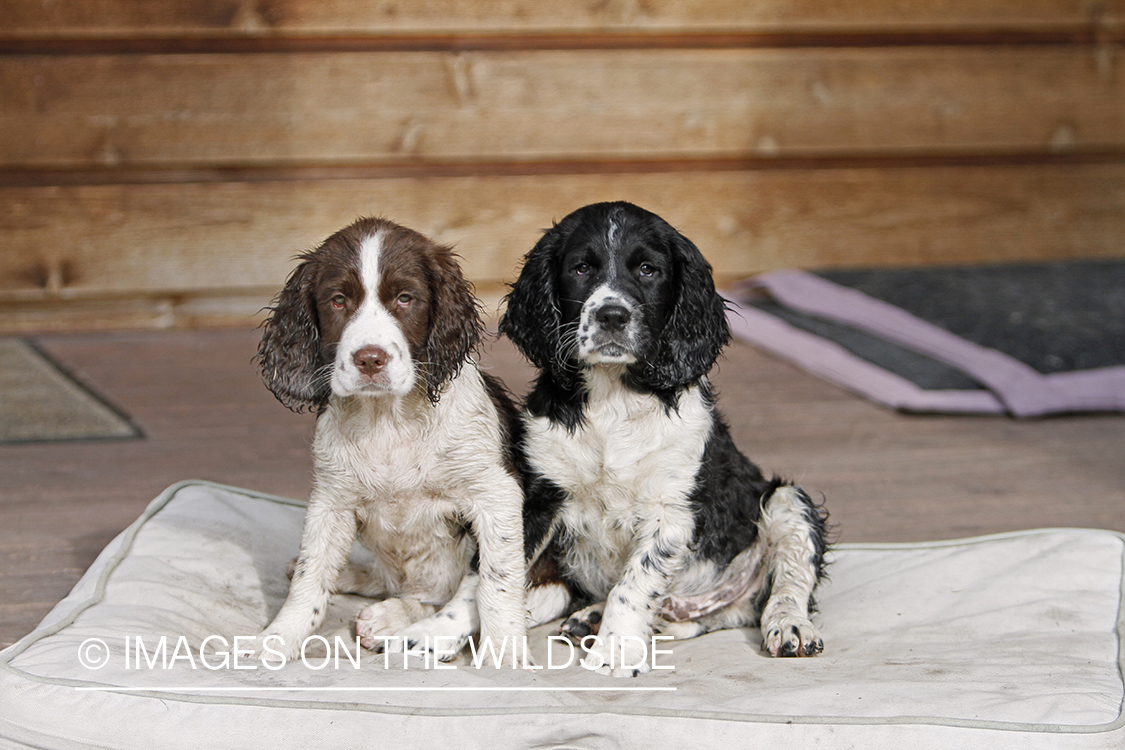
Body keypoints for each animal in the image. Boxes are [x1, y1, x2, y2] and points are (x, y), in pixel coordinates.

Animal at [253, 217, 524, 661]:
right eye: (338, 300)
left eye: (404, 298)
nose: (369, 359)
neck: (388, 419)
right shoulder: (331, 500)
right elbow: (310, 578)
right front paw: (278, 638)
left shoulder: (495, 493)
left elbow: (496, 584)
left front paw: (505, 655)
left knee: (435, 593)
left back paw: (390, 619)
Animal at [501, 202, 828, 679]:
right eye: (580, 268)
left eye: (647, 270)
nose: (612, 316)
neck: (614, 397)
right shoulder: (540, 493)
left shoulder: (669, 509)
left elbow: (635, 581)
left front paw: (615, 651)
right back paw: (590, 616)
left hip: (787, 500)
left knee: (785, 586)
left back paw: (791, 627)